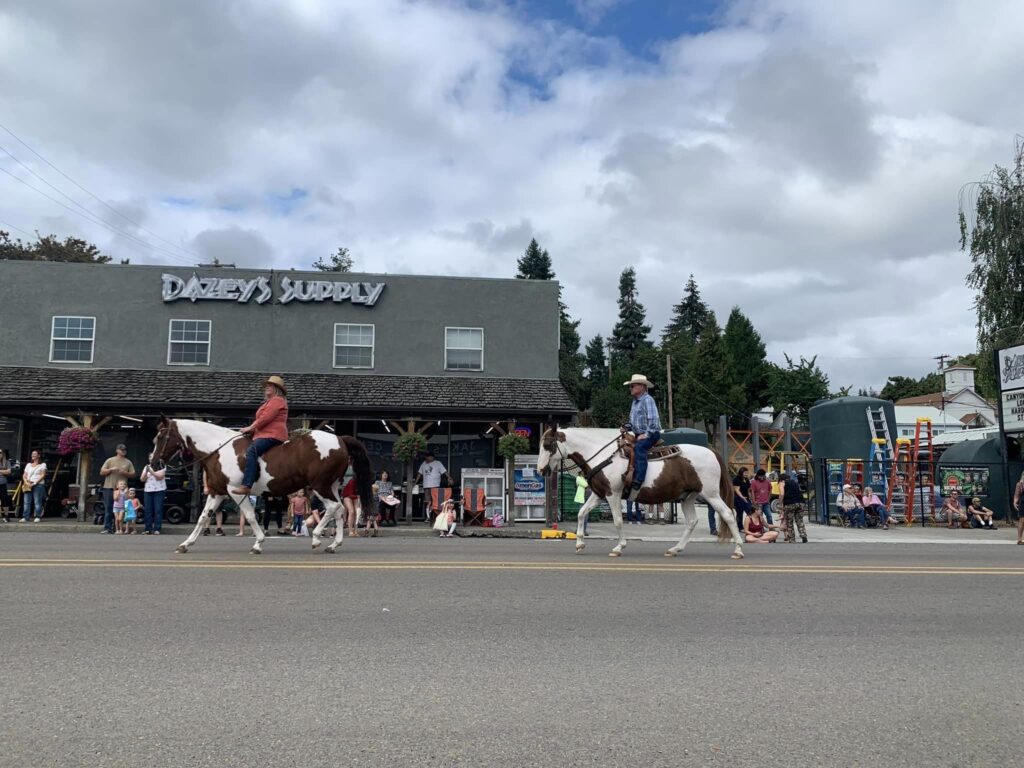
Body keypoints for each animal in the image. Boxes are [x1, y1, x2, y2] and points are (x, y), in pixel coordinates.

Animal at [153, 417, 374, 557]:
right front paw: (185, 544)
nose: (154, 463)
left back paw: (317, 538)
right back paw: (334, 544)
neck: (218, 449)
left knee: (333, 508)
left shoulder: (235, 492)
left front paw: (258, 543)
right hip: (332, 486)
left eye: (160, 437)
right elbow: (202, 517)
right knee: (340, 510)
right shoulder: (217, 493)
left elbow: (250, 516)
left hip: (320, 486)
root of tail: (340, 439)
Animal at [536, 428, 745, 561]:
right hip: (689, 497)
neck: (601, 456)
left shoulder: (613, 494)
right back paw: (675, 549)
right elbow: (581, 513)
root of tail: (712, 452)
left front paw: (619, 547)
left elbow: (618, 521)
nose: (540, 469)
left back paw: (738, 549)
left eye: (547, 445)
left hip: (710, 494)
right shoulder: (599, 494)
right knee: (692, 521)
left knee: (729, 514)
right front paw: (579, 543)